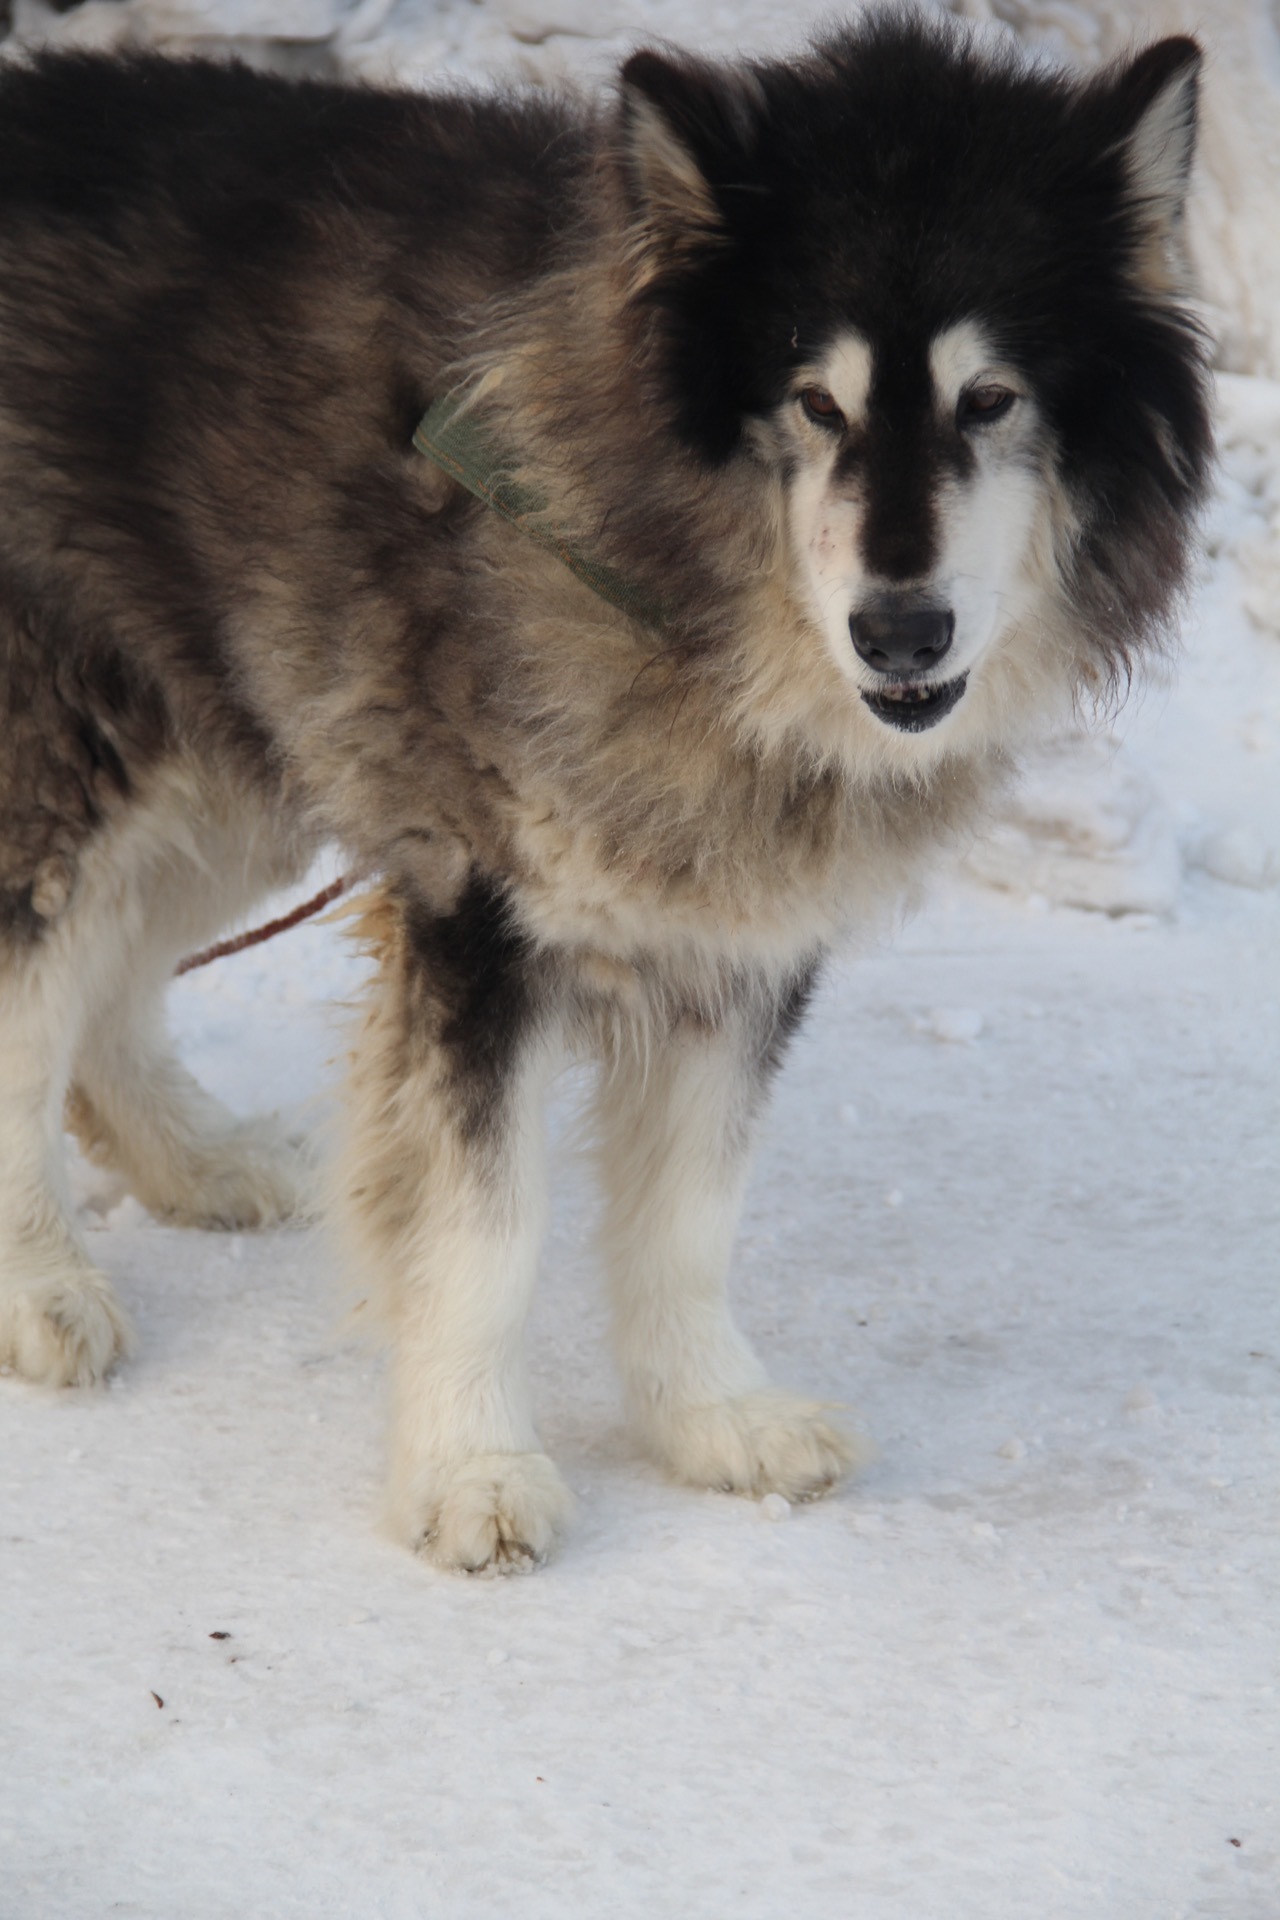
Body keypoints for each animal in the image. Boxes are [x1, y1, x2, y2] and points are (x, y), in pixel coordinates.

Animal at [0, 15, 1212, 1566]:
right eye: (813, 404)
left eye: (990, 400)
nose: (901, 632)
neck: (692, 602)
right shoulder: (483, 912)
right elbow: (486, 1232)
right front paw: (471, 1466)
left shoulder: (739, 939)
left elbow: (689, 1216)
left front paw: (709, 1416)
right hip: (90, 751)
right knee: (36, 994)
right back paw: (43, 1277)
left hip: (241, 746)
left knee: (111, 965)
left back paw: (191, 1159)